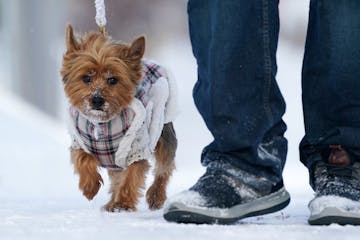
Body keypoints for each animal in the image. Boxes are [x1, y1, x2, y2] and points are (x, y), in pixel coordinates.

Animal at [61, 24, 178, 211]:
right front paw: (89, 186)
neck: (102, 122)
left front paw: (122, 204)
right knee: (117, 176)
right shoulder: (79, 141)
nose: (97, 100)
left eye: (112, 80)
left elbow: (131, 176)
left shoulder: (136, 148)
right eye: (86, 78)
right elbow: (83, 159)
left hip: (163, 132)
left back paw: (156, 196)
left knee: (164, 167)